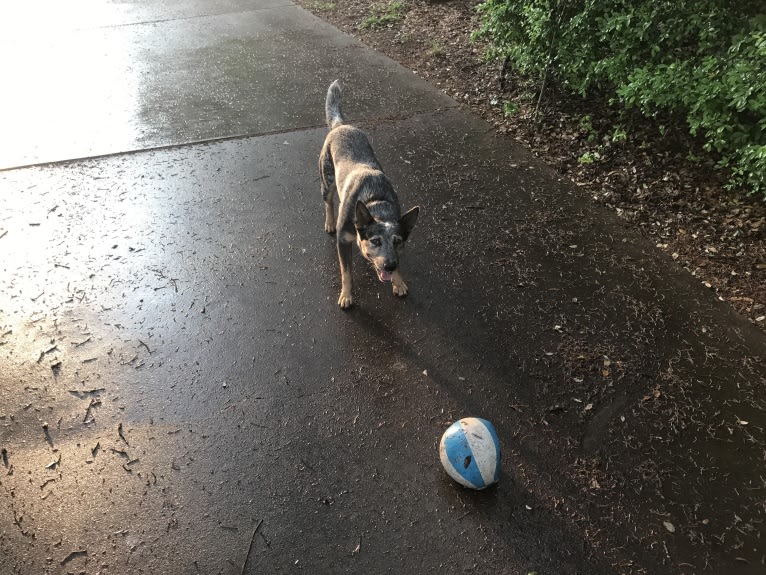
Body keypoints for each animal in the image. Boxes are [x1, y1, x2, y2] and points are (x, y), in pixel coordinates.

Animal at [320, 81, 424, 310]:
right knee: (328, 202)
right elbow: (346, 273)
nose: (389, 265)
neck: (375, 202)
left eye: (398, 241)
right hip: (327, 180)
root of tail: (340, 125)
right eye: (375, 241)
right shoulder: (343, 242)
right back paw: (330, 221)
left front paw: (398, 281)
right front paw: (346, 295)